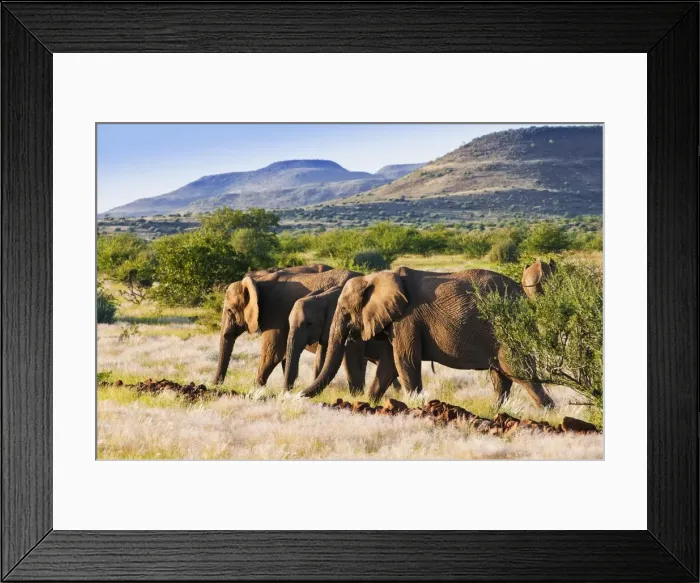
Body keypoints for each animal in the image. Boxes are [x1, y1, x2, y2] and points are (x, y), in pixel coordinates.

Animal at [213, 268, 359, 387]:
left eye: (230, 311)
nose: (215, 386)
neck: (258, 282)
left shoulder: (275, 314)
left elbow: (273, 353)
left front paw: (255, 390)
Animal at [302, 266, 554, 408]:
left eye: (344, 310)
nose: (298, 395)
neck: (376, 277)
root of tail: (524, 298)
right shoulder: (398, 320)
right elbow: (389, 364)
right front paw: (369, 403)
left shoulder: (408, 318)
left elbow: (404, 362)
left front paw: (415, 405)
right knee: (501, 377)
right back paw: (496, 411)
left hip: (506, 328)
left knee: (516, 370)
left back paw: (547, 410)